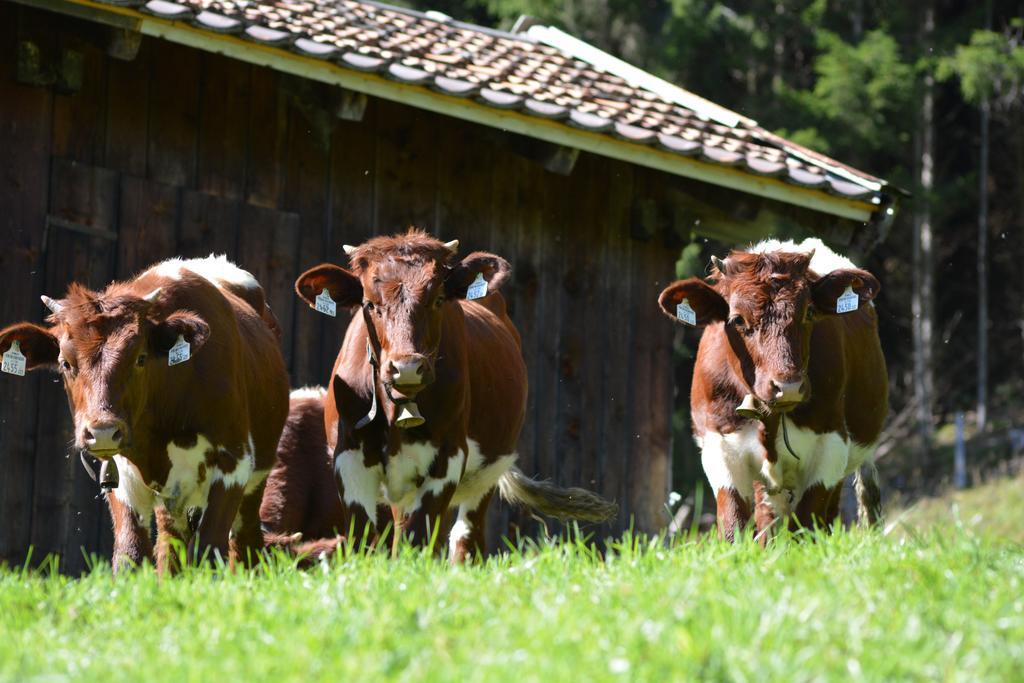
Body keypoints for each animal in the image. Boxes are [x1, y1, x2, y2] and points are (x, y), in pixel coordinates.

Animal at [0, 255, 288, 573]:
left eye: (140, 358)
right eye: (65, 363)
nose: (102, 432)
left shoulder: (233, 462)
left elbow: (209, 550)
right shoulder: (120, 474)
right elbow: (131, 554)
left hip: (255, 480)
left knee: (245, 540)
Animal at [296, 229, 614, 561]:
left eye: (437, 300)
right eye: (369, 304)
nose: (407, 368)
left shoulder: (448, 458)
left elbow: (418, 540)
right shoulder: (348, 458)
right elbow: (361, 542)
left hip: (488, 473)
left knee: (465, 537)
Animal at [659, 239, 884, 540]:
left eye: (809, 312)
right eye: (737, 319)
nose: (788, 387)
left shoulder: (831, 445)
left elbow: (806, 527)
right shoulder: (719, 444)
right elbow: (732, 526)